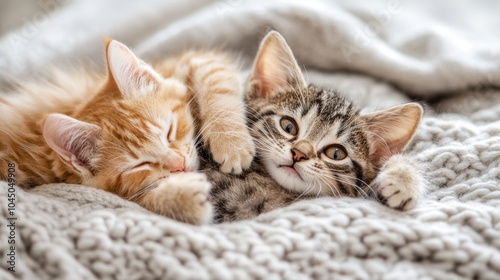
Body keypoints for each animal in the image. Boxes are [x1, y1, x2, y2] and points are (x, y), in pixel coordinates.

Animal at [0, 38, 254, 224]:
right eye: (141, 164)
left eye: (170, 131)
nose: (180, 164)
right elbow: (138, 200)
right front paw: (179, 199)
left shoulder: (194, 61)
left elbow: (217, 85)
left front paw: (231, 143)